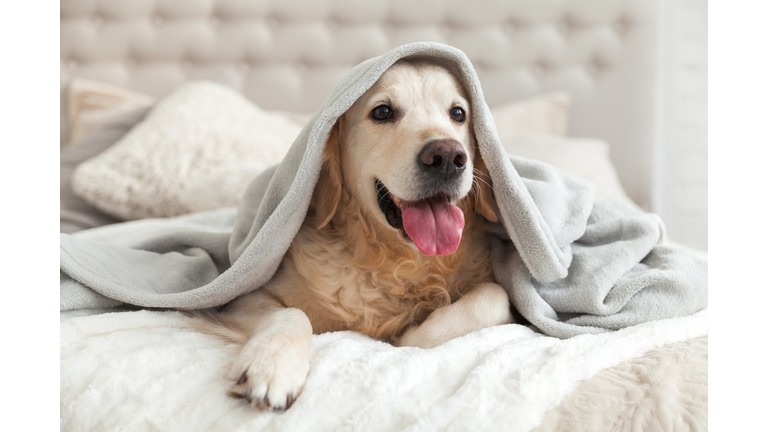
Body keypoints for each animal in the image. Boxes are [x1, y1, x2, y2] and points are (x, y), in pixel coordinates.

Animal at [192, 58, 516, 412]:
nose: (446, 157)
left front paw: (413, 335)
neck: (397, 261)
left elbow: (495, 295)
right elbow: (291, 313)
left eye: (458, 113)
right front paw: (271, 365)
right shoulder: (239, 299)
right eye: (382, 112)